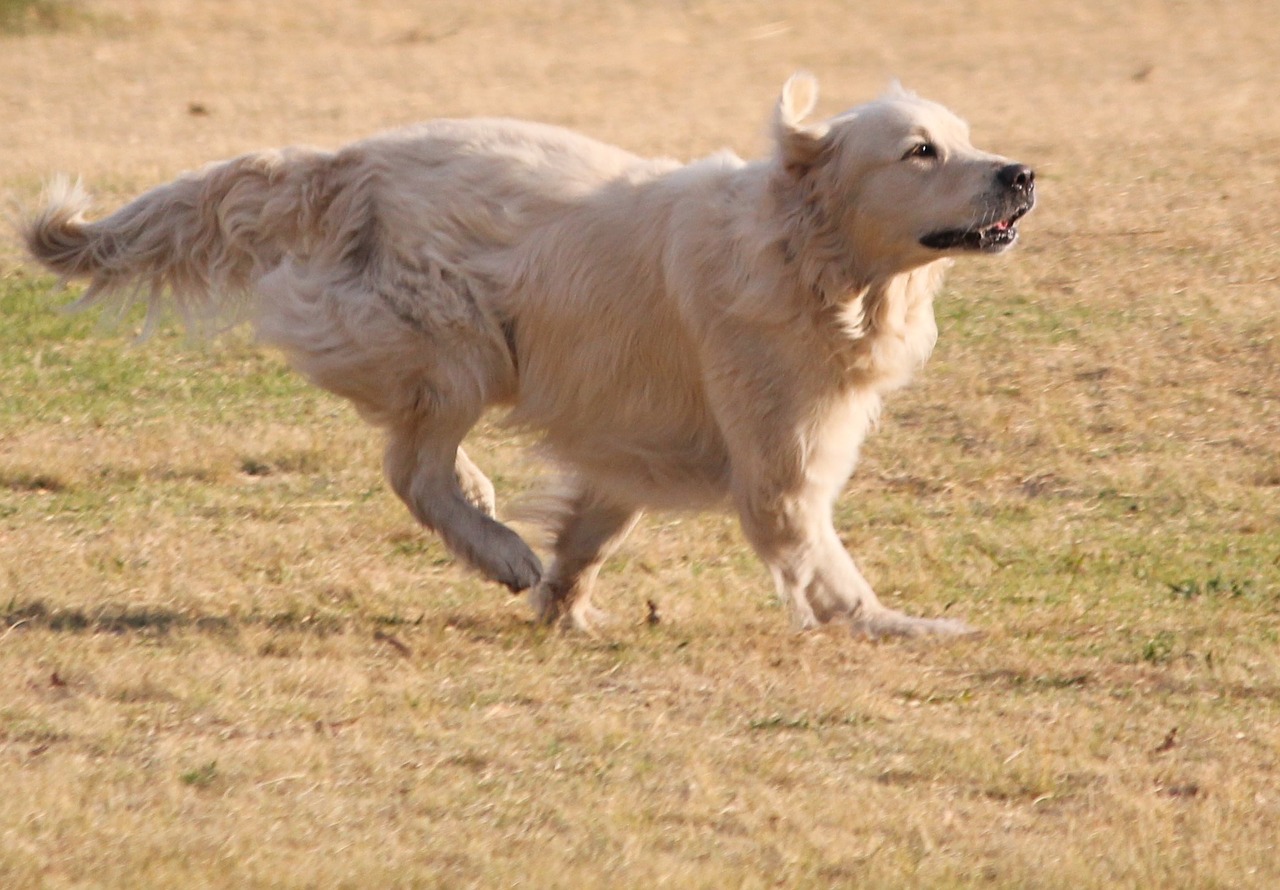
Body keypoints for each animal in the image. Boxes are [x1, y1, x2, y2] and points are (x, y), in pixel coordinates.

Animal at [24, 74, 1034, 632]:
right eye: (920, 151)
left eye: (967, 139)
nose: (1021, 173)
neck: (805, 251)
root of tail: (343, 163)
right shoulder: (781, 466)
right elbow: (822, 562)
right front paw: (904, 626)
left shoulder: (630, 443)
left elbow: (591, 532)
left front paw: (565, 607)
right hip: (460, 346)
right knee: (412, 470)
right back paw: (494, 544)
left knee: (425, 464)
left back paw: (494, 529)